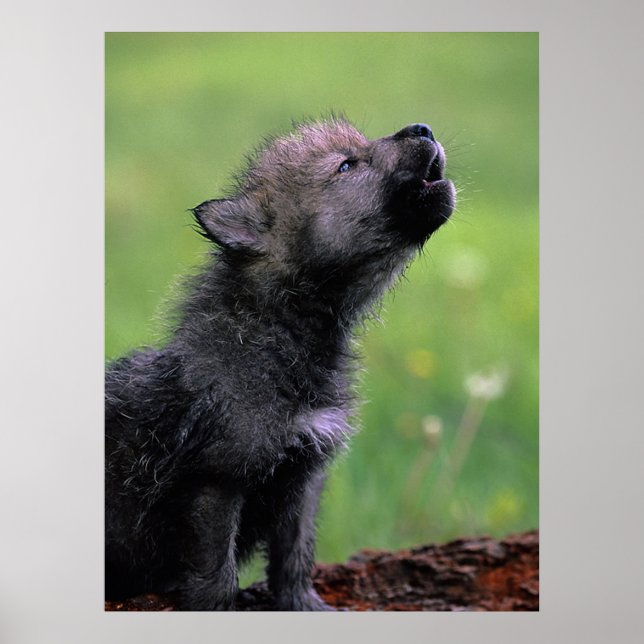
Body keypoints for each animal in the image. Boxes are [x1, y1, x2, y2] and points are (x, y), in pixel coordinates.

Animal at [105, 119, 455, 610]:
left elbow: (295, 556)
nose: (421, 127)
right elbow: (217, 576)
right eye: (346, 165)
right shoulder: (218, 480)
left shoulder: (304, 477)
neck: (287, 334)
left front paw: (304, 604)